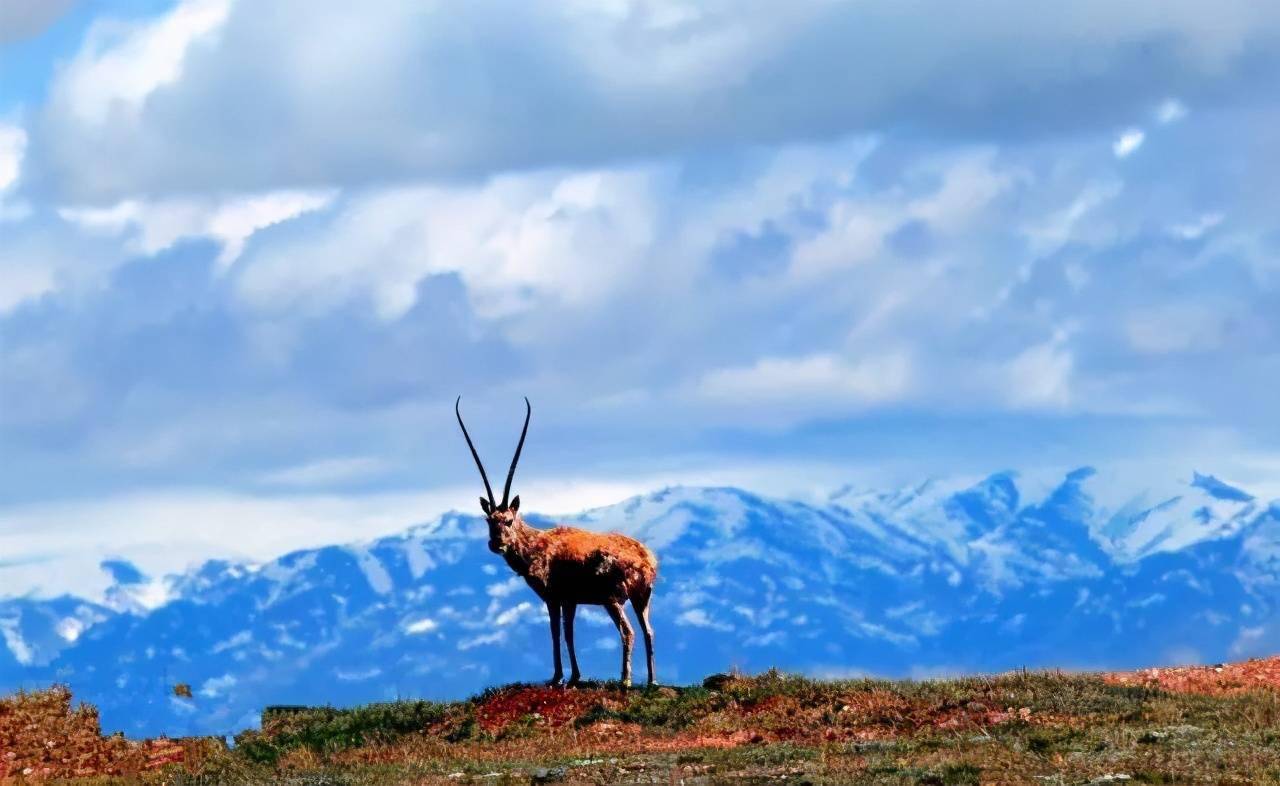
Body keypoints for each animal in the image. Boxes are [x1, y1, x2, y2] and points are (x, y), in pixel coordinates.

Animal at [458, 396, 660, 686]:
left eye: (508, 519)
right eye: (489, 520)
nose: (496, 544)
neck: (536, 544)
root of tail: (646, 562)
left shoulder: (553, 597)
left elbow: (555, 631)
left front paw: (557, 678)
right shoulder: (571, 600)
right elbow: (569, 632)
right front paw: (575, 676)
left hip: (613, 599)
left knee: (628, 631)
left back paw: (625, 680)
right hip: (641, 597)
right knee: (648, 631)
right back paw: (652, 681)